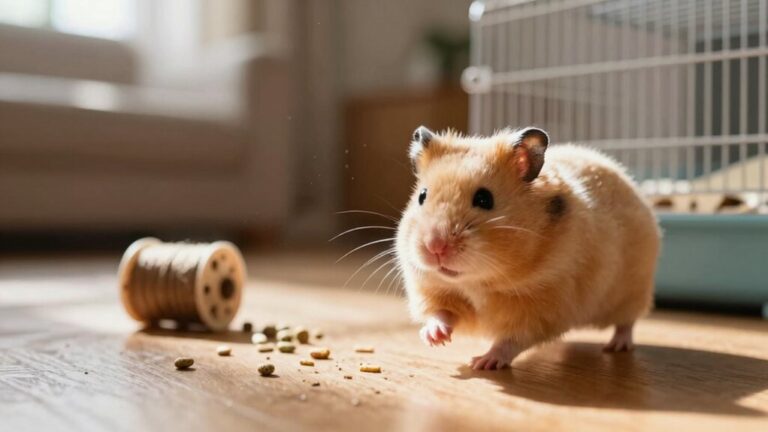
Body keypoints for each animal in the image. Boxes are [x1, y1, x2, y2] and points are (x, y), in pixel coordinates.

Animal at [396, 126, 660, 370]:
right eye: (422, 196)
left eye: (484, 199)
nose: (435, 247)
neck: (477, 281)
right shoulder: (435, 290)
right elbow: (440, 313)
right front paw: (435, 338)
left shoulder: (540, 310)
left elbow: (512, 340)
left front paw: (483, 363)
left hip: (632, 291)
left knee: (627, 322)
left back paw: (616, 346)